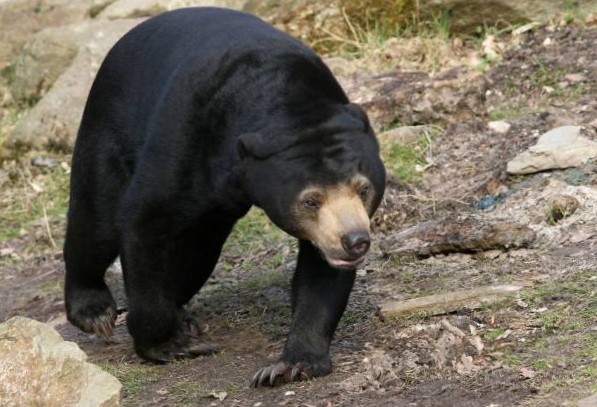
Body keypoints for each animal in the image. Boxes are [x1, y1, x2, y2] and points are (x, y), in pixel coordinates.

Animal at [62, 7, 384, 388]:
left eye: (363, 188)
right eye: (310, 200)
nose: (355, 241)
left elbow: (321, 273)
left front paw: (290, 365)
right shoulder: (188, 134)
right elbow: (146, 220)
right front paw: (171, 346)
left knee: (195, 254)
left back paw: (182, 313)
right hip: (107, 127)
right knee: (96, 220)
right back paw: (95, 311)